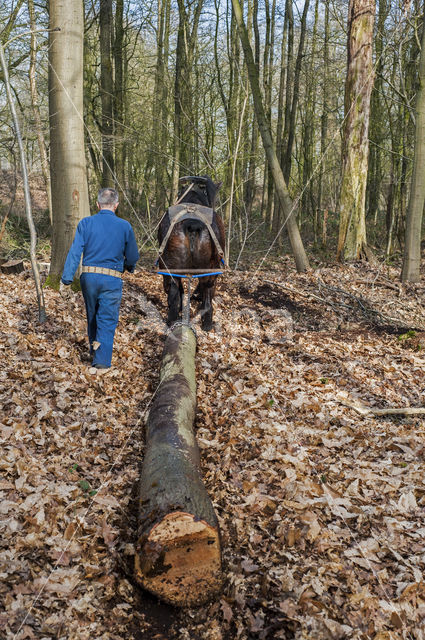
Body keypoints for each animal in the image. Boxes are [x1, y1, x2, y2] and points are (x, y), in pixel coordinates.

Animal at [157, 178, 225, 332]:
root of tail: (193, 223)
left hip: (171, 268)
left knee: (174, 294)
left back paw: (173, 321)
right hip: (209, 270)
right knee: (207, 296)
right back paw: (206, 323)